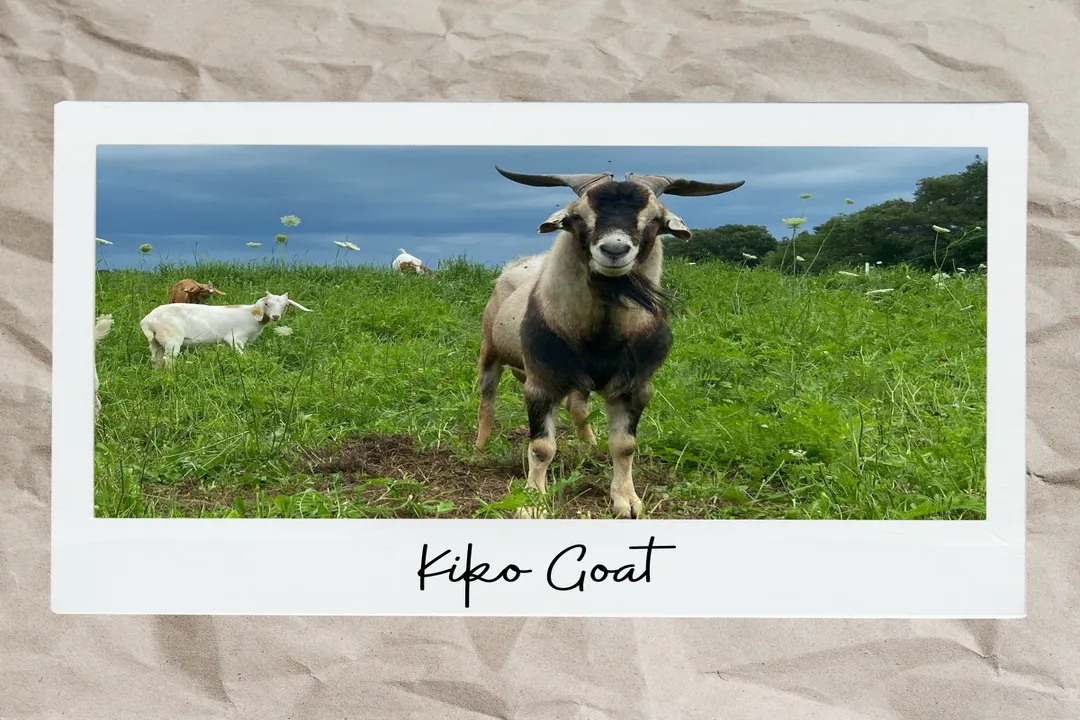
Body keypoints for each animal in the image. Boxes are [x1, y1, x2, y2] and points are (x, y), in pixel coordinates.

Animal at [140, 291, 311, 368]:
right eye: (267, 304)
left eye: (285, 305)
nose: (276, 316)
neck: (251, 316)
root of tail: (148, 321)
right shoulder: (235, 338)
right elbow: (241, 355)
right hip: (172, 339)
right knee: (168, 360)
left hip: (156, 341)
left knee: (156, 359)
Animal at [474, 166, 744, 519]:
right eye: (576, 217)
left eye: (656, 220)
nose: (615, 250)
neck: (600, 337)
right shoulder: (541, 384)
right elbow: (542, 447)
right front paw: (531, 504)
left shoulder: (635, 387)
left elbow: (625, 446)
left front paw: (627, 501)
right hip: (490, 351)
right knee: (487, 399)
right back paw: (479, 448)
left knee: (577, 406)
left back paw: (588, 444)